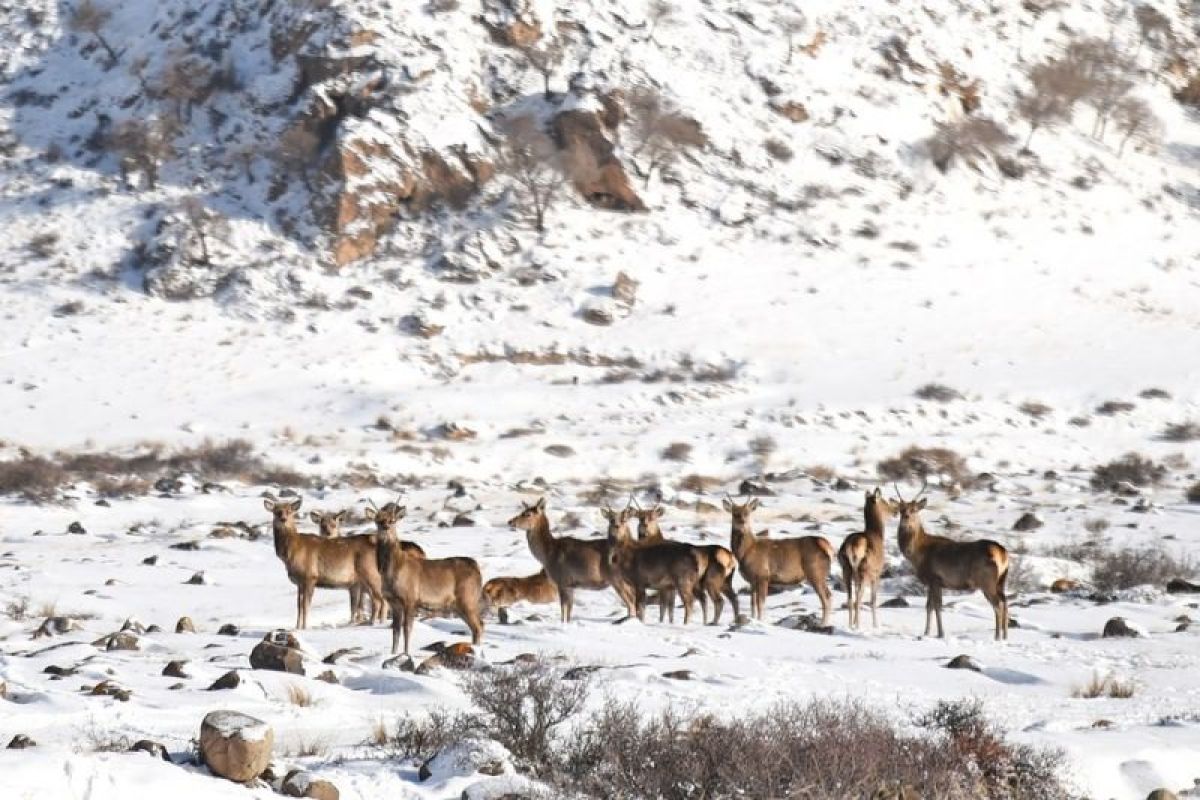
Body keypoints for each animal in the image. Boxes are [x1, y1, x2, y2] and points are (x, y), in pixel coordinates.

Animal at [262, 494, 384, 633]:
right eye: (276, 511)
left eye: (290, 511)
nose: (283, 519)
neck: (293, 552)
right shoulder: (299, 582)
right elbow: (299, 606)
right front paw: (297, 627)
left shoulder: (310, 576)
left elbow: (305, 605)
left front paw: (304, 627)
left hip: (369, 572)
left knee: (379, 600)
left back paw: (372, 623)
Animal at [376, 503, 484, 652]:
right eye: (377, 520)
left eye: (393, 520)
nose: (385, 528)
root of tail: (476, 568)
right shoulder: (394, 602)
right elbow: (395, 631)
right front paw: (393, 653)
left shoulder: (410, 599)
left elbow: (407, 628)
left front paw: (406, 653)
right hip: (458, 605)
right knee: (478, 626)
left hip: (468, 598)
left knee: (478, 626)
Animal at [724, 494, 830, 623]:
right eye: (735, 513)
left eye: (747, 513)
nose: (742, 524)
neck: (745, 552)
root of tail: (826, 545)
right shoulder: (752, 580)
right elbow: (752, 603)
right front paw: (753, 619)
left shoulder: (763, 576)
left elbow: (760, 603)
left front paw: (761, 621)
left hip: (815, 571)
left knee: (826, 597)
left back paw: (823, 624)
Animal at [840, 489, 897, 633]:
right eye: (884, 501)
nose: (895, 511)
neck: (878, 535)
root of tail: (852, 546)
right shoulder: (877, 574)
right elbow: (873, 600)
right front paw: (875, 625)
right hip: (865, 570)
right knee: (859, 598)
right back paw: (858, 626)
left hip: (846, 569)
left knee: (850, 598)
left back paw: (851, 625)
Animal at [897, 482, 1008, 642]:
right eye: (900, 509)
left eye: (914, 509)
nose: (906, 517)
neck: (918, 555)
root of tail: (1002, 553)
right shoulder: (934, 582)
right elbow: (929, 606)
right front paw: (926, 633)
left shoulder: (934, 578)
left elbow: (936, 606)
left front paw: (939, 633)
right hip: (1001, 581)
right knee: (1005, 601)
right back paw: (1005, 636)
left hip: (987, 580)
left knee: (997, 604)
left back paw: (997, 637)